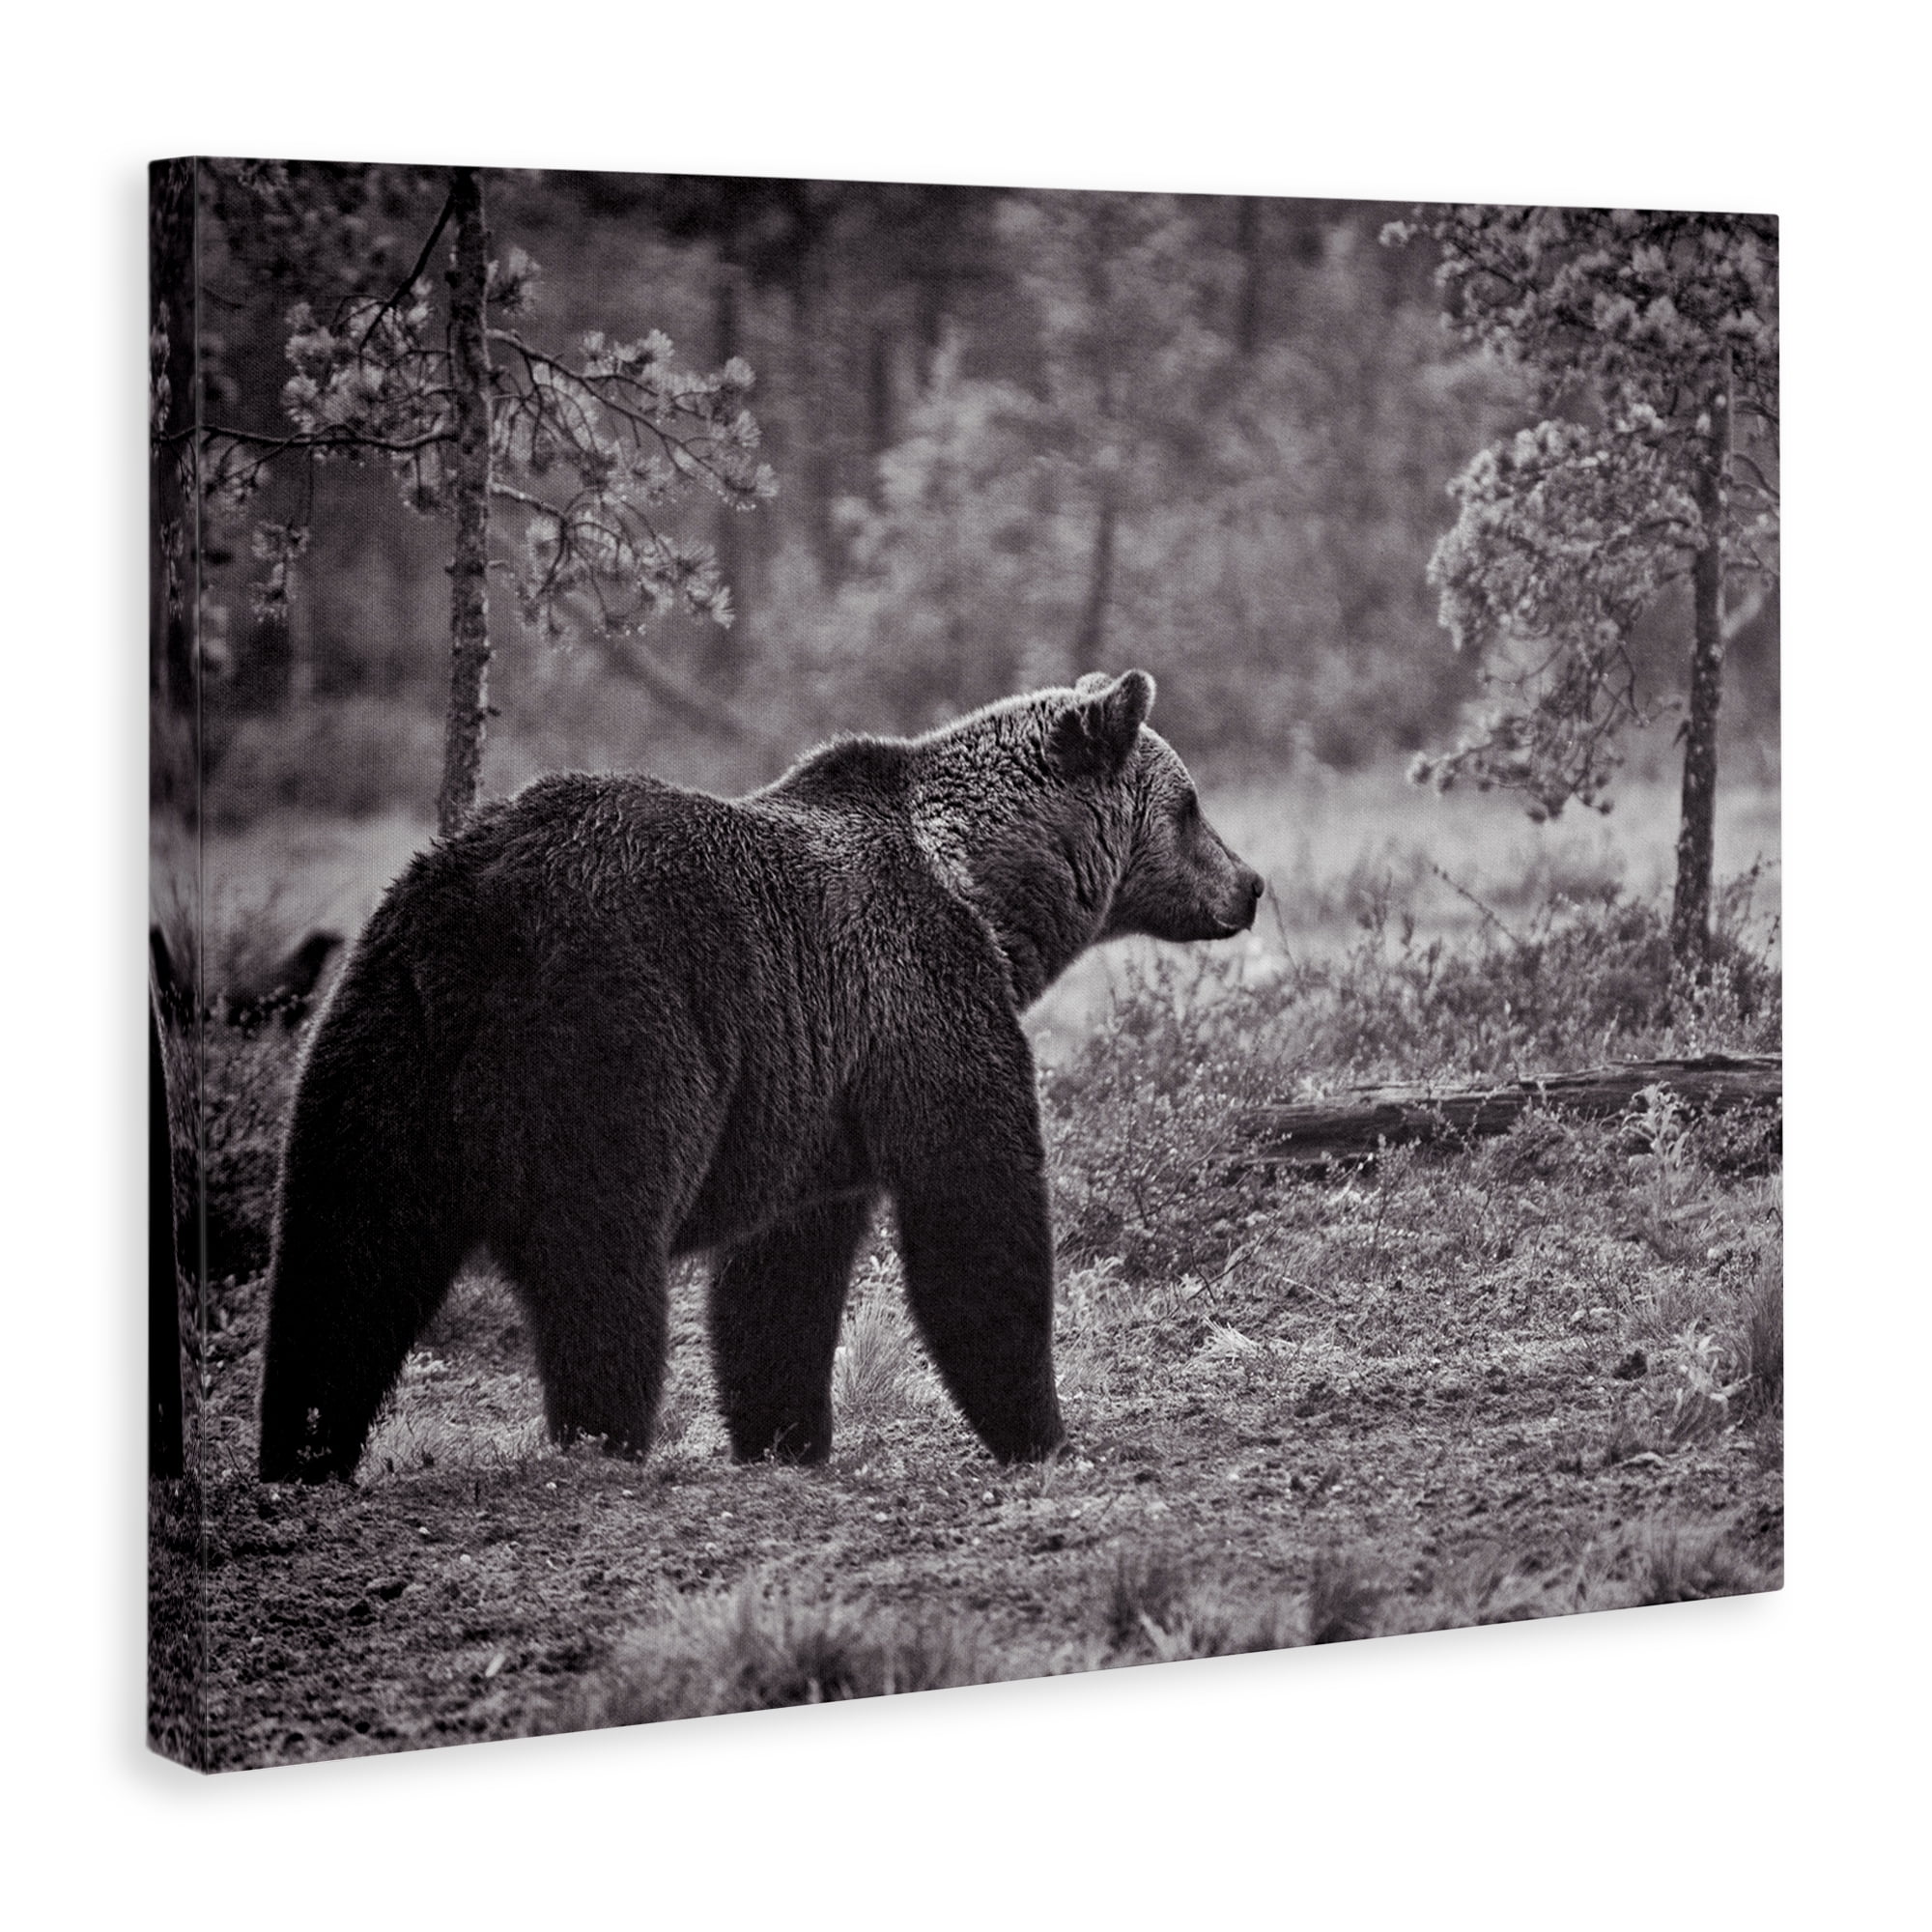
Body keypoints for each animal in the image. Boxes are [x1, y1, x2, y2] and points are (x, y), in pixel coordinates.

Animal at [257, 670, 1263, 1483]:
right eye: (1190, 805)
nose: (1250, 884)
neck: (984, 890)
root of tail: (474, 918)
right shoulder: (922, 998)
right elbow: (975, 1209)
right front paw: (1044, 1433)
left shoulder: (815, 1097)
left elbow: (780, 1280)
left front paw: (786, 1437)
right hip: (614, 1033)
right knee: (599, 1260)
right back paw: (603, 1440)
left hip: (379, 1042)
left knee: (343, 1258)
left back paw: (301, 1453)